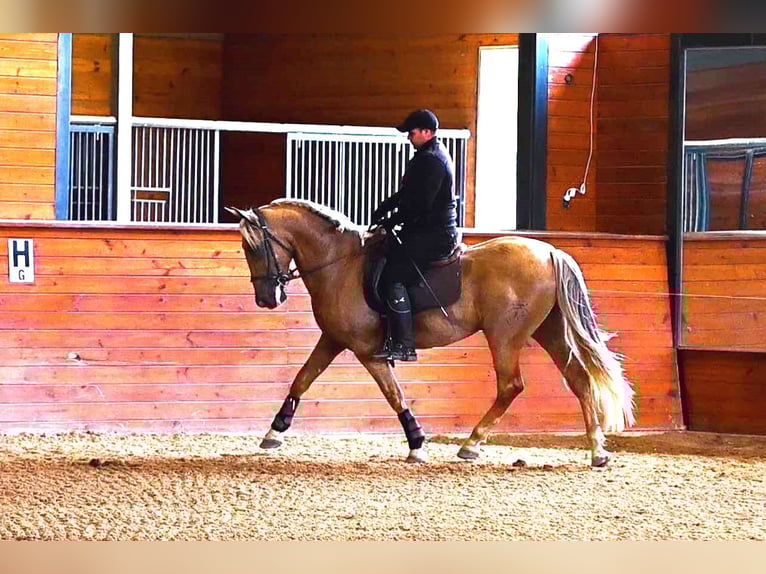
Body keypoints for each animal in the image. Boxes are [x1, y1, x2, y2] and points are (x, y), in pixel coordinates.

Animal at [226, 198, 635, 467]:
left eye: (252, 247)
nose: (267, 298)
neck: (340, 264)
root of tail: (550, 252)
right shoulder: (334, 340)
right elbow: (302, 378)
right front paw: (274, 431)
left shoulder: (367, 351)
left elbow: (394, 395)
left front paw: (417, 443)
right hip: (549, 330)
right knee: (579, 378)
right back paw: (597, 451)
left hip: (505, 335)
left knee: (511, 386)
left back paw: (471, 444)